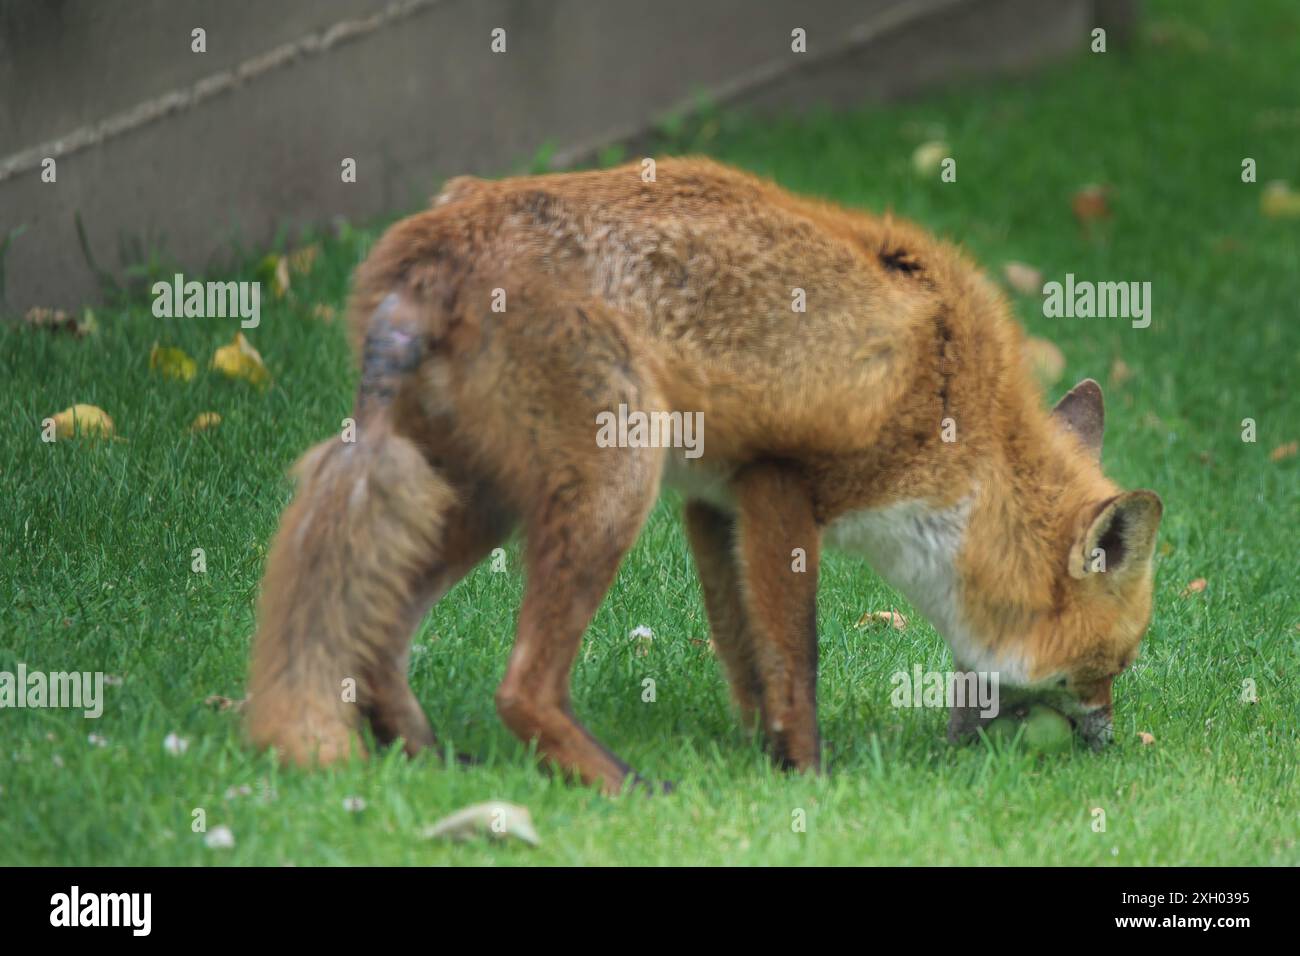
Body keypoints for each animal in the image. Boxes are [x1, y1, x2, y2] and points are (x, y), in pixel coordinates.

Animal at [246, 157, 1163, 793]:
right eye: (1111, 667)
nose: (1111, 742)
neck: (964, 428)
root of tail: (431, 246)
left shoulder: (718, 501)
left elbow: (746, 659)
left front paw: (766, 763)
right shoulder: (785, 487)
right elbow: (797, 662)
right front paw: (814, 783)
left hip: (477, 495)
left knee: (378, 645)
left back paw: (433, 764)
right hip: (611, 483)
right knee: (522, 687)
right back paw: (620, 788)